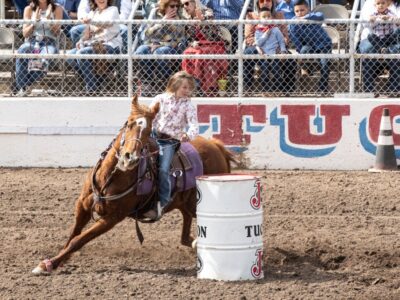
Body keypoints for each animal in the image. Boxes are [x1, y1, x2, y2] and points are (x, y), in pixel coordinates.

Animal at [33, 95, 238, 274]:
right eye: (129, 123)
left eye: (148, 131)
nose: (129, 158)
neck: (109, 178)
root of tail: (217, 146)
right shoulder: (82, 206)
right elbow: (72, 235)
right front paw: (56, 260)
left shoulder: (113, 217)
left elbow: (79, 239)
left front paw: (47, 265)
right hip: (186, 203)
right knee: (186, 230)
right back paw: (194, 243)